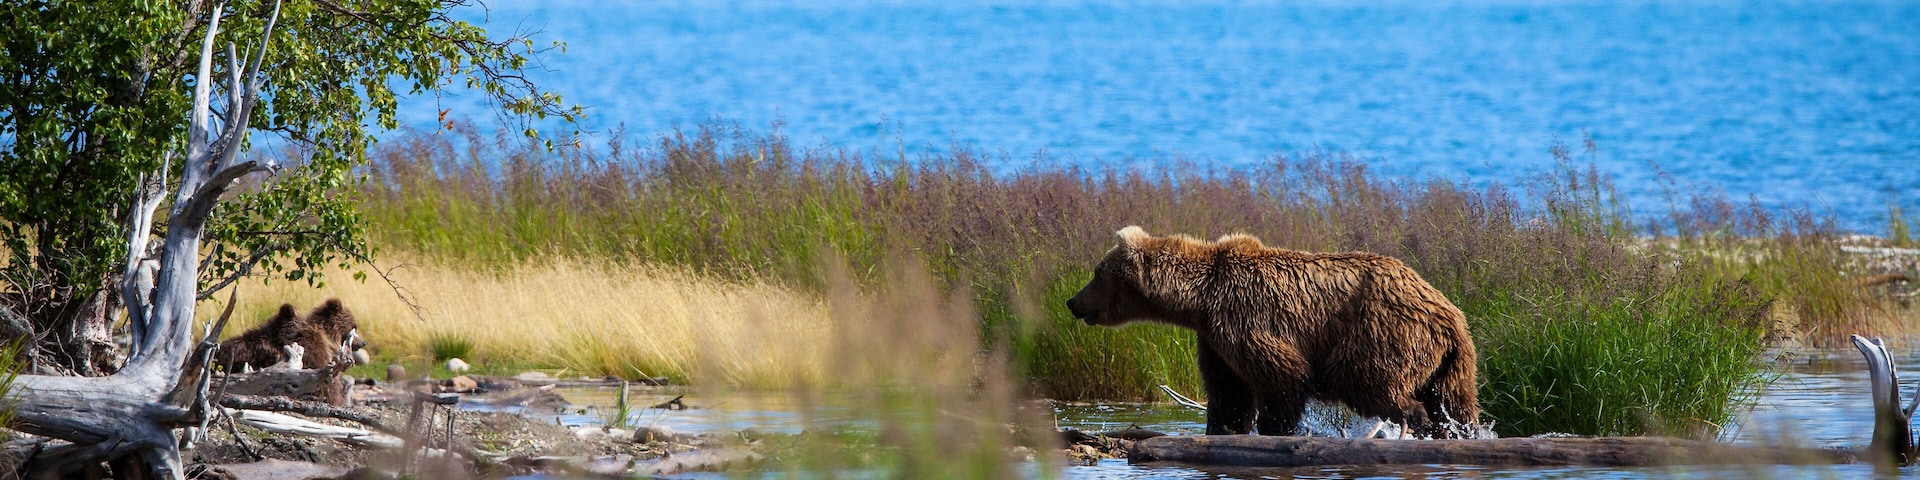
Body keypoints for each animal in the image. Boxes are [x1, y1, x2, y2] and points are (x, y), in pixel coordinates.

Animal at [1065, 226, 1480, 438]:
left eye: (1097, 273)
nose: (1072, 301)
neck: (1200, 299)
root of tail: (1449, 313)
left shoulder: (1248, 316)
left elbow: (1282, 376)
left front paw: (1274, 427)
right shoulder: (1214, 340)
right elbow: (1229, 393)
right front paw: (1225, 427)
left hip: (1383, 331)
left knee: (1367, 379)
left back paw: (1417, 422)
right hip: (1454, 359)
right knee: (1456, 402)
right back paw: (1458, 431)